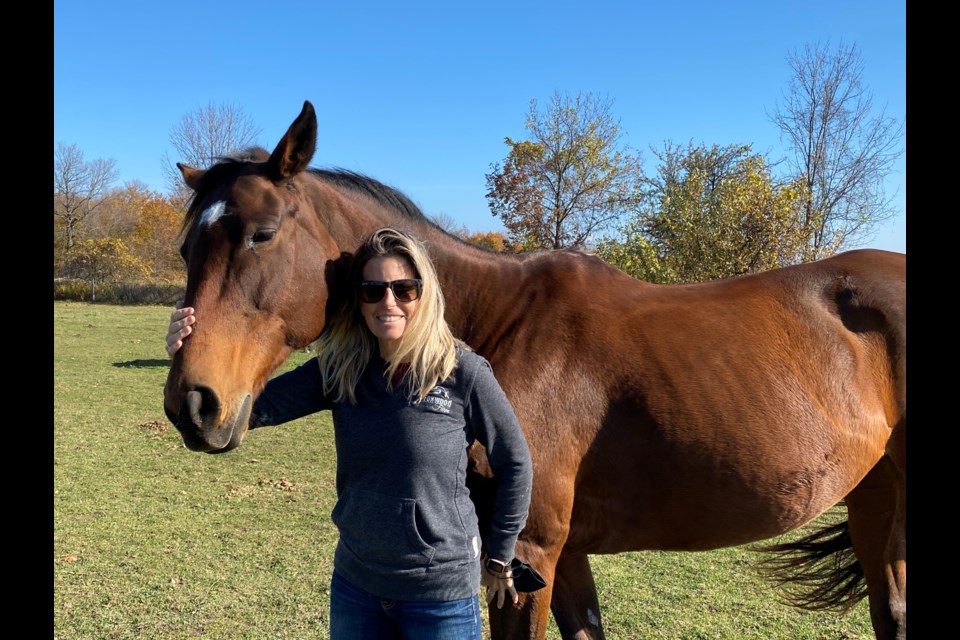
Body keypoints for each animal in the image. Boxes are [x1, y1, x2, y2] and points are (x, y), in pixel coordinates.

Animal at [165, 102, 908, 636]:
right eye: (186, 248)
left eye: (262, 233)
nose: (192, 404)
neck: (503, 327)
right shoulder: (563, 556)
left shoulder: (528, 556)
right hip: (877, 502)